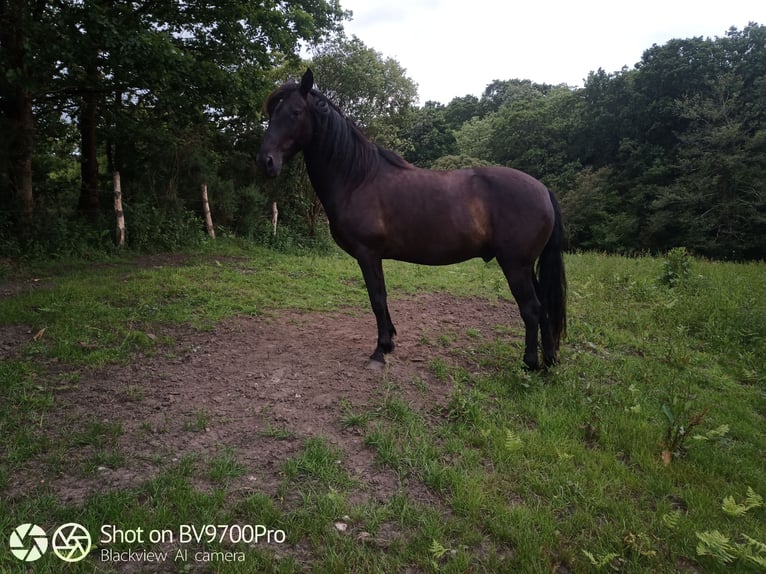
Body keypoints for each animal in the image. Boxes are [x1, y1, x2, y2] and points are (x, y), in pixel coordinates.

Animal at [256, 71, 564, 368]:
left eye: (295, 112)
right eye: (273, 113)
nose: (265, 162)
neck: (357, 178)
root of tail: (543, 190)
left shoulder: (368, 253)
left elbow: (377, 299)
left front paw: (380, 350)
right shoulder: (374, 256)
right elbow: (382, 297)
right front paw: (389, 340)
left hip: (515, 265)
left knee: (531, 309)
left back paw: (530, 363)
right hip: (525, 266)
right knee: (544, 307)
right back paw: (548, 361)